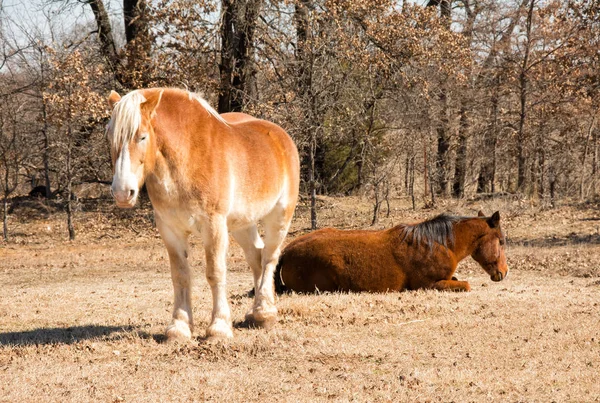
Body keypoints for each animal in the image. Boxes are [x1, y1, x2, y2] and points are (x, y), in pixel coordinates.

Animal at [106, 88, 300, 340]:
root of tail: (280, 136)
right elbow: (180, 275)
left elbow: (215, 273)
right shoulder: (170, 230)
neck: (188, 156)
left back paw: (265, 313)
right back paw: (255, 312)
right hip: (242, 225)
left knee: (269, 257)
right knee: (256, 257)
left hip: (279, 216)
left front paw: (218, 327)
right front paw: (179, 327)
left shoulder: (213, 226)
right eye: (110, 137)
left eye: (142, 137)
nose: (122, 192)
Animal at [276, 211, 506, 294]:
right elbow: (465, 284)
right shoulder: (429, 284)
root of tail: (286, 252)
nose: (504, 272)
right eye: (502, 241)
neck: (439, 243)